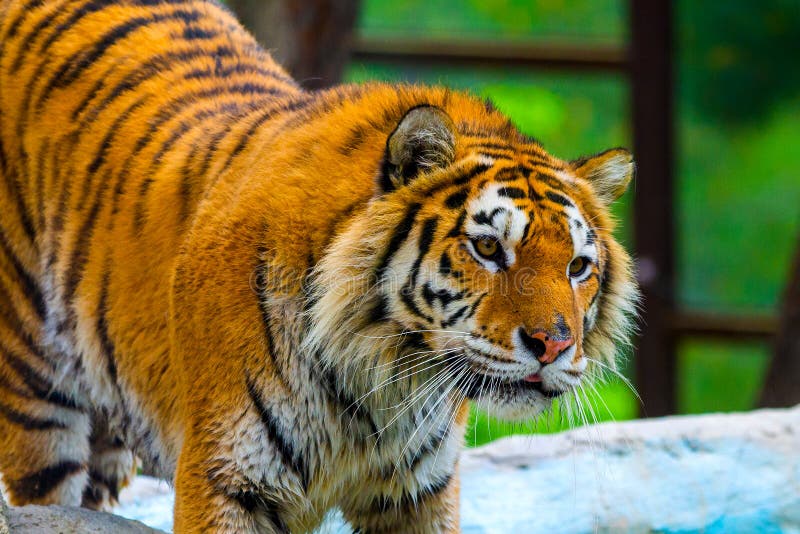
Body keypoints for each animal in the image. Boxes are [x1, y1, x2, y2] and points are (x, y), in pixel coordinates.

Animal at [0, 0, 636, 532]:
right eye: (487, 249)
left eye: (578, 266)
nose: (554, 346)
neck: (380, 387)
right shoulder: (225, 479)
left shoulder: (420, 492)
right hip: (36, 396)